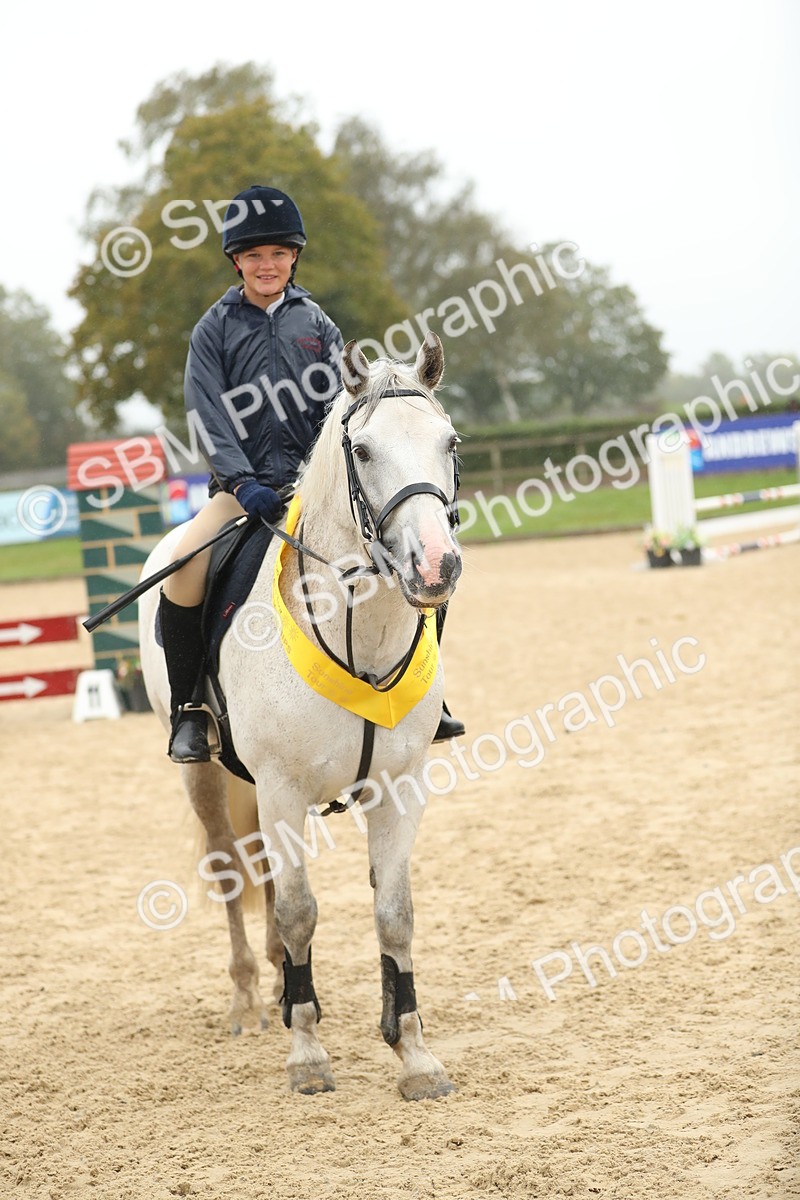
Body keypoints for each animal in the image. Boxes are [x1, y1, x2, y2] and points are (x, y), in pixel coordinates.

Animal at [138, 333, 463, 1099]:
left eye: (450, 442)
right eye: (364, 451)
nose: (436, 565)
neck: (358, 633)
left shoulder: (399, 788)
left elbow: (393, 913)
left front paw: (412, 1053)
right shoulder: (283, 789)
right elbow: (297, 909)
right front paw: (308, 1055)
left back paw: (284, 992)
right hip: (206, 777)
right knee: (233, 872)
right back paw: (251, 1002)